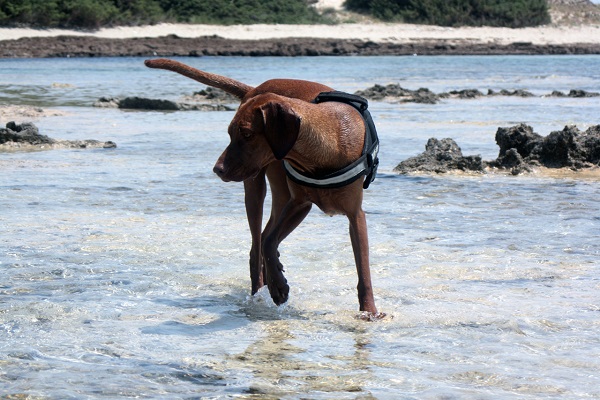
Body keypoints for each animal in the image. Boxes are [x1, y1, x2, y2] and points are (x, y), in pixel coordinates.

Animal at [144, 57, 384, 318]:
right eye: (230, 133)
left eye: (247, 134)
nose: (217, 169)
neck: (324, 147)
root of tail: (254, 88)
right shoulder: (298, 203)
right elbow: (268, 242)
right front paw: (279, 286)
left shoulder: (350, 214)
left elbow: (363, 269)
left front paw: (369, 311)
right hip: (256, 187)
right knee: (257, 243)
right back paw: (261, 289)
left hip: (281, 195)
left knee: (266, 235)